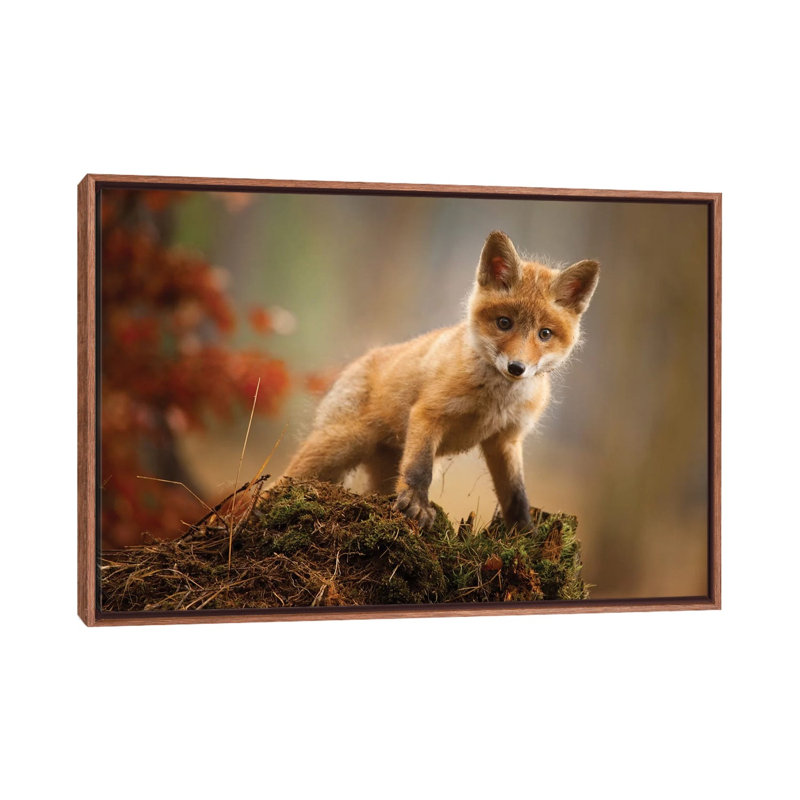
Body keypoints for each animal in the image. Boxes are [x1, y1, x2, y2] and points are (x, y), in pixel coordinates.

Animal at [284, 230, 600, 531]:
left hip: (381, 468)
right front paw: (416, 505)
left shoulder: (505, 439)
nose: (516, 367)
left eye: (545, 334)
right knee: (285, 479)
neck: (495, 401)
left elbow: (516, 495)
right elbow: (420, 468)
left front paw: (524, 533)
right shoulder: (429, 413)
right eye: (504, 323)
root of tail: (360, 360)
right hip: (338, 446)